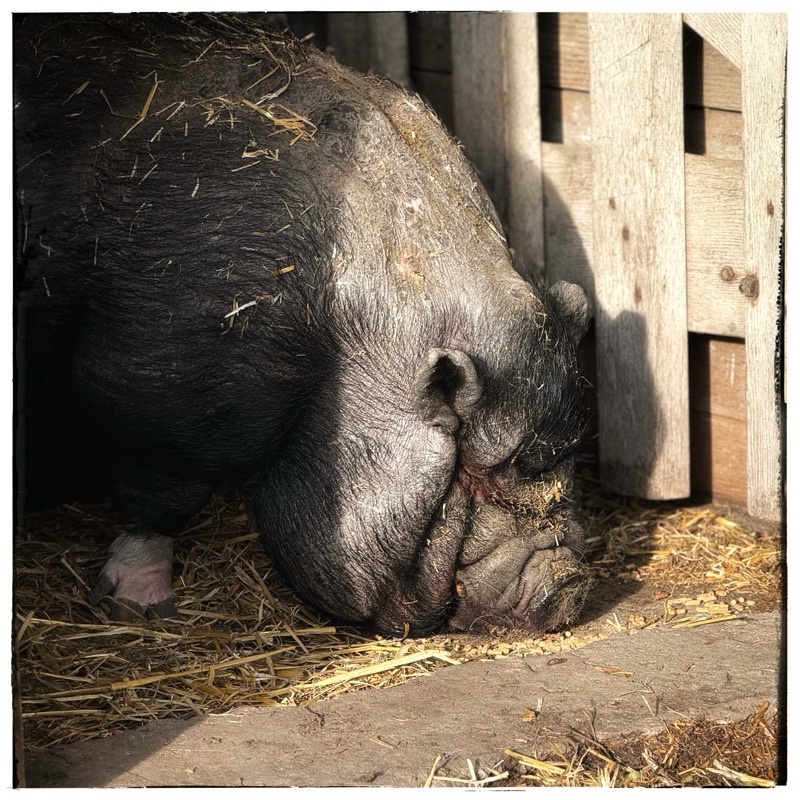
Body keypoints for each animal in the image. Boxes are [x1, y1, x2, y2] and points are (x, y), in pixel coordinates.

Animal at [14, 13, 591, 637]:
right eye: (478, 476)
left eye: (571, 455)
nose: (570, 588)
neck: (331, 353)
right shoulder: (150, 384)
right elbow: (160, 495)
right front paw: (139, 607)